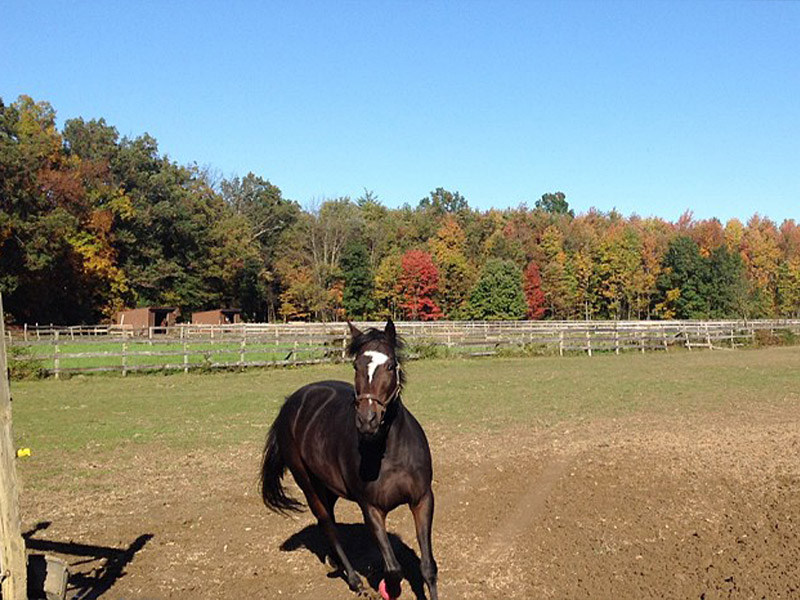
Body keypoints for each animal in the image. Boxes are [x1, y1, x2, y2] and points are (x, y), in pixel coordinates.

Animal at [260, 318, 438, 600]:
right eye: (356, 366)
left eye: (390, 365)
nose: (367, 420)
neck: (390, 452)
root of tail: (291, 403)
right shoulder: (371, 509)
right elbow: (393, 569)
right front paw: (384, 587)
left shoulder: (422, 500)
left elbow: (428, 567)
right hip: (307, 483)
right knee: (327, 525)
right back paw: (354, 581)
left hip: (328, 486)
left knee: (330, 520)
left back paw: (335, 563)